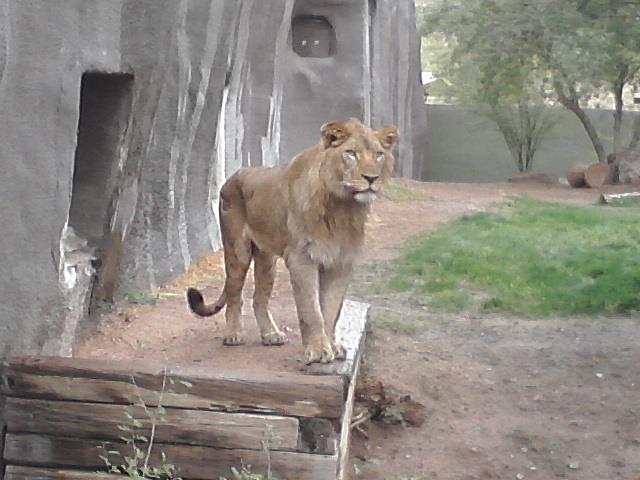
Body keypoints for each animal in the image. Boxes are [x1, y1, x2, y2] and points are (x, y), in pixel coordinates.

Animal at [187, 118, 399, 364]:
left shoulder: (341, 262)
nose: (371, 179)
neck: (343, 207)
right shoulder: (301, 258)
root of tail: (231, 176)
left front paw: (332, 346)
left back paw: (271, 334)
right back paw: (233, 334)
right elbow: (311, 310)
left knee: (259, 298)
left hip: (267, 260)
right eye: (351, 153)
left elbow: (331, 311)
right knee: (234, 294)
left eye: (379, 155)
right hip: (237, 251)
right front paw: (317, 350)